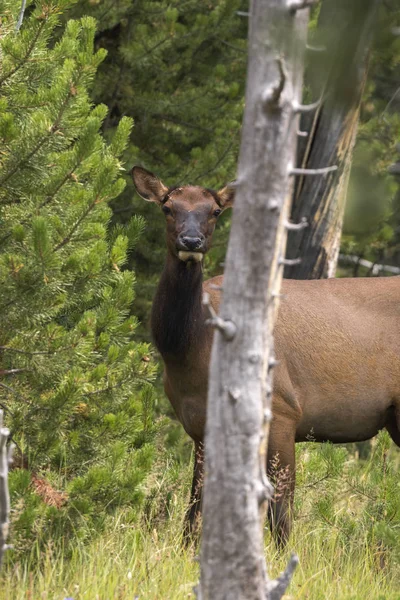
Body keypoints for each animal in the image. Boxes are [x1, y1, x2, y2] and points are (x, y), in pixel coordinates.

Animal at [132, 165, 400, 548]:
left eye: (215, 211)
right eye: (168, 207)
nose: (191, 242)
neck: (193, 351)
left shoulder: (283, 411)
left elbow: (280, 509)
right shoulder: (199, 427)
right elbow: (196, 502)